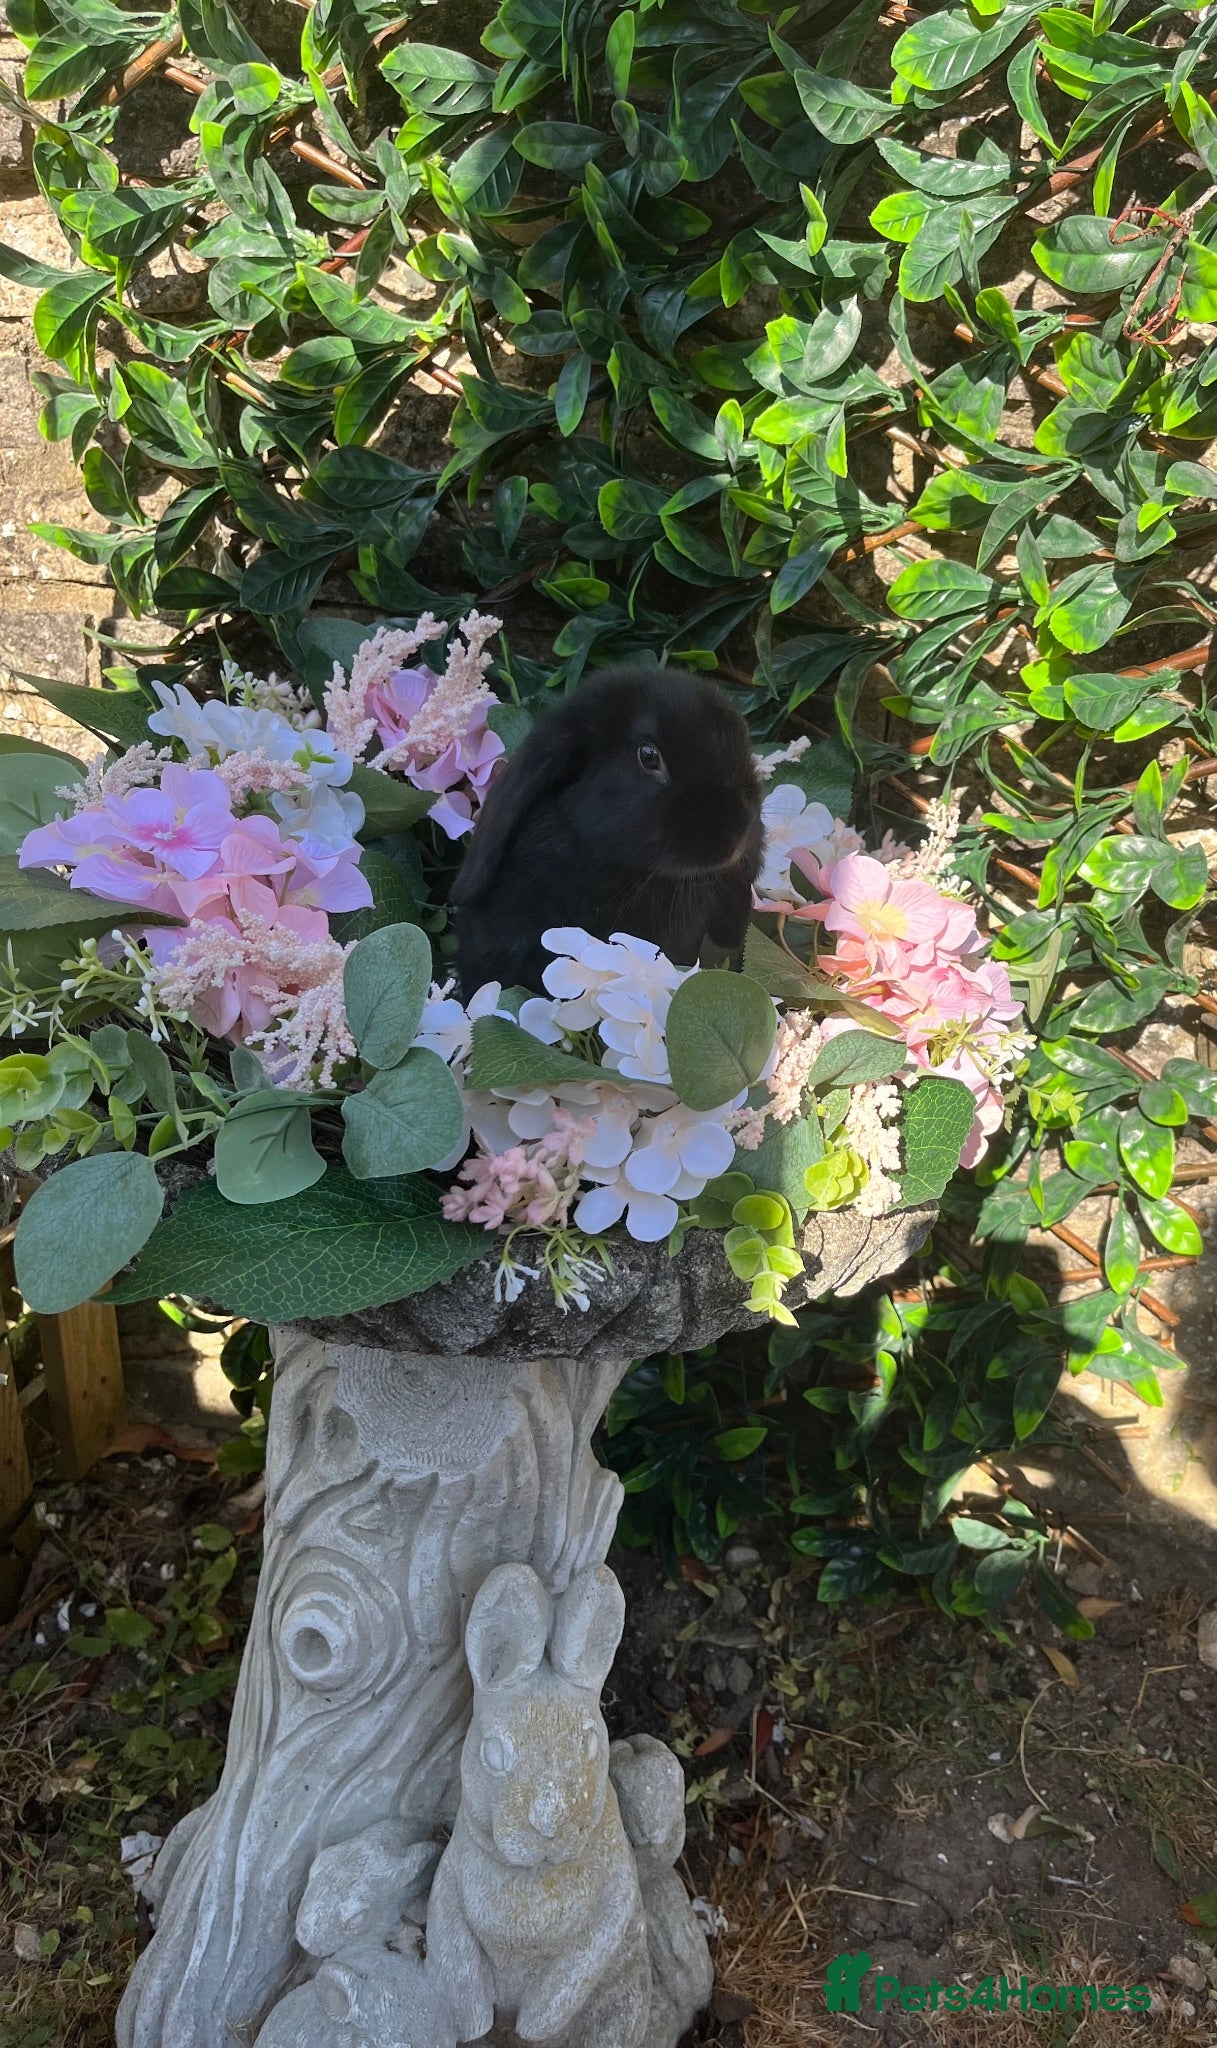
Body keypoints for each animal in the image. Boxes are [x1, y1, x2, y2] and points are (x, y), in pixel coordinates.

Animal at [424, 1562, 652, 2047]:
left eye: (590, 1745)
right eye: (493, 1754)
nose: (548, 1823)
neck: (535, 1875)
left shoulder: (617, 1898)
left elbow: (583, 1960)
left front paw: (533, 2027)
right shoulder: (449, 1882)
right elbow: (454, 1947)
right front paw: (475, 2024)